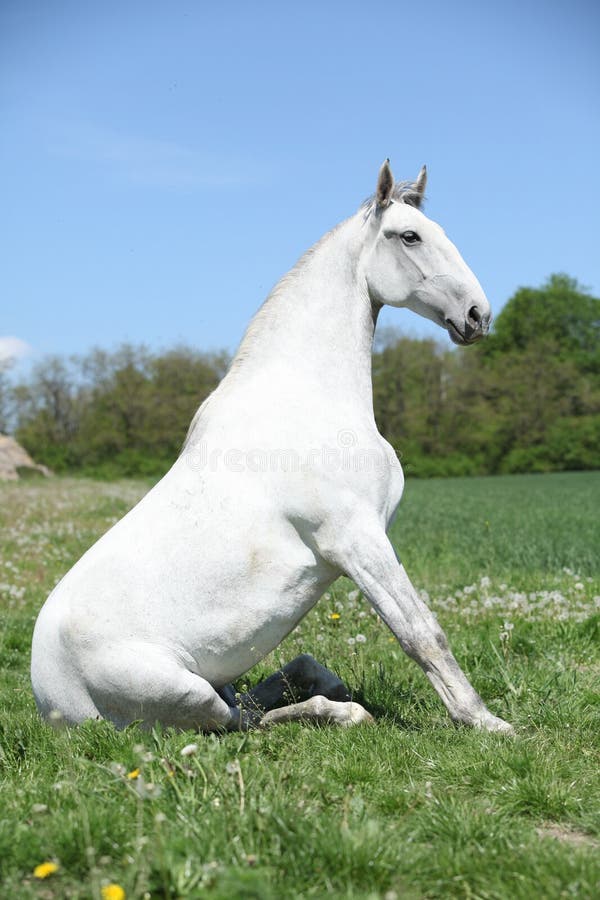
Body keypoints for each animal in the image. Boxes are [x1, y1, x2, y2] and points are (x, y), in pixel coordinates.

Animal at [31, 160, 513, 734]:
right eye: (410, 236)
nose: (477, 315)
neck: (308, 396)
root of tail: (47, 699)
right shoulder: (356, 540)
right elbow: (422, 635)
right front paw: (486, 723)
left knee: (265, 696)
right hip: (187, 695)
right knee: (240, 722)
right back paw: (344, 711)